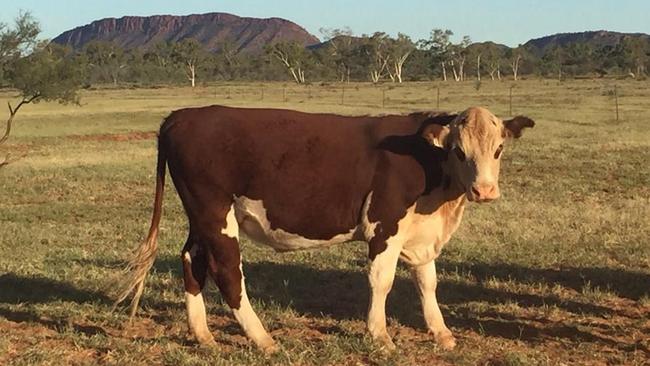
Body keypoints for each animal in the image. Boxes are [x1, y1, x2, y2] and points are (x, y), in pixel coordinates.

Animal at [116, 105, 532, 352]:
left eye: (498, 150)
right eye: (459, 151)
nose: (484, 190)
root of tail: (182, 115)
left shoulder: (420, 232)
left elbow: (427, 281)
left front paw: (441, 332)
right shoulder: (385, 226)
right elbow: (382, 281)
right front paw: (380, 335)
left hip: (201, 217)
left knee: (192, 261)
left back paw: (202, 334)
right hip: (215, 213)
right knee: (227, 272)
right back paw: (262, 338)